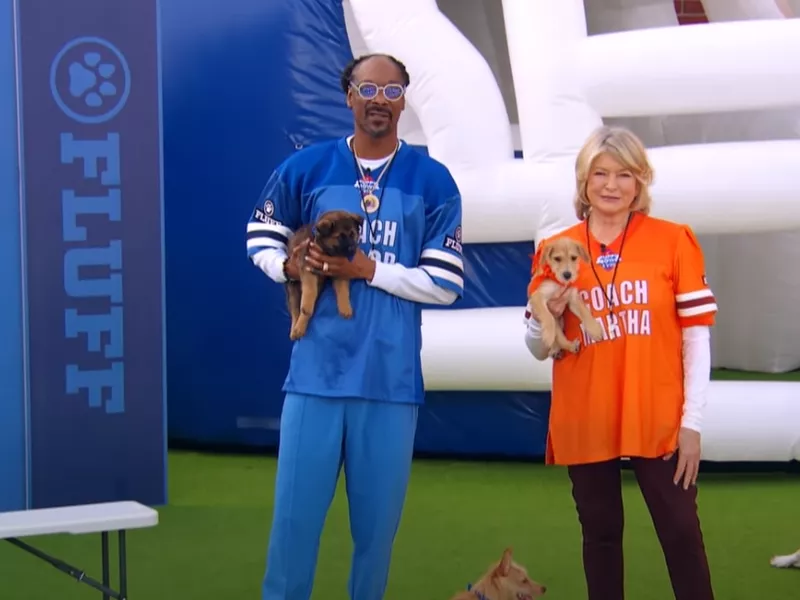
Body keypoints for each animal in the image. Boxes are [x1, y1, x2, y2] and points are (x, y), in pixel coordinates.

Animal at [286, 210, 364, 342]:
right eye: (340, 237)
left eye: (352, 234)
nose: (353, 250)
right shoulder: (308, 267)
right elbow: (310, 291)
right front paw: (307, 306)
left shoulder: (340, 272)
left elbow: (343, 290)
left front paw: (345, 307)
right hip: (292, 289)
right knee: (296, 310)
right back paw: (296, 328)